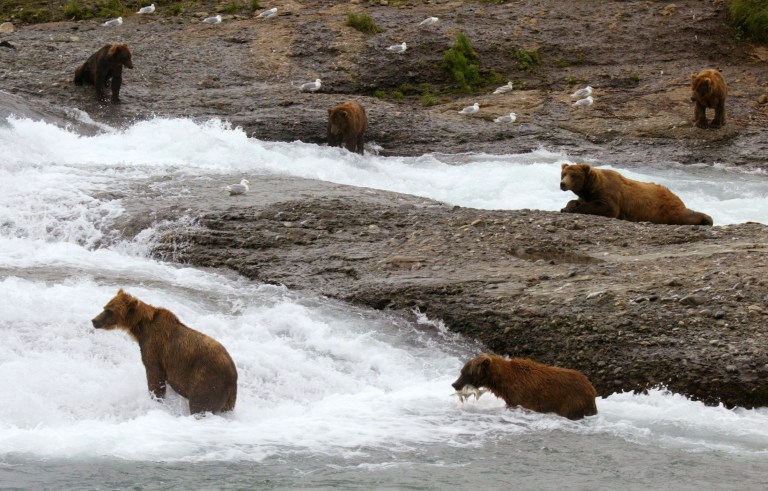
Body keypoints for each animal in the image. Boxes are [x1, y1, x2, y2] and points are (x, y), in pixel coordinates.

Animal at [92, 289, 238, 415]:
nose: (94, 321)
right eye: (105, 307)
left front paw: (156, 398)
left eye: (110, 311)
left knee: (201, 405)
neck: (141, 329)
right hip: (228, 398)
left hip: (208, 381)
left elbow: (154, 376)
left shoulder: (155, 349)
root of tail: (233, 373)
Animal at [452, 354, 597, 420]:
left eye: (464, 372)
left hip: (572, 401)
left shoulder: (525, 397)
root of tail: (591, 388)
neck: (504, 382)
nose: (454, 384)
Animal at [560, 163, 713, 226]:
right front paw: (567, 206)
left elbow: (607, 208)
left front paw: (570, 208)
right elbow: (577, 201)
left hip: (664, 208)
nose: (563, 184)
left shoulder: (609, 193)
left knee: (683, 215)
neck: (590, 187)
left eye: (574, 175)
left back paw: (707, 220)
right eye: (563, 173)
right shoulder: (586, 195)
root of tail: (673, 193)